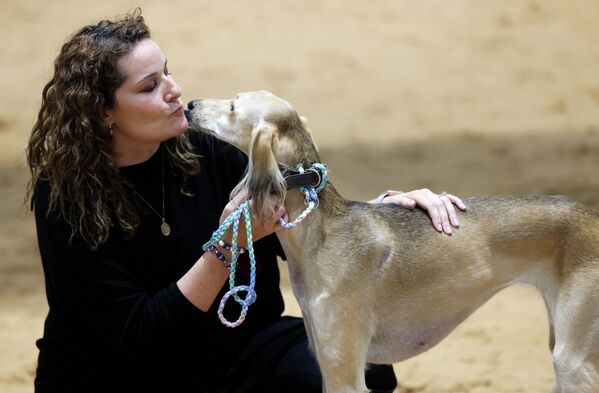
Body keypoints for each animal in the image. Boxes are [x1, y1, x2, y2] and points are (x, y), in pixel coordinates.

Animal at [190, 90, 599, 390]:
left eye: (232, 107)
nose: (191, 105)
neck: (322, 238)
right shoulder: (326, 363)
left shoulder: (345, 373)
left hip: (572, 361)